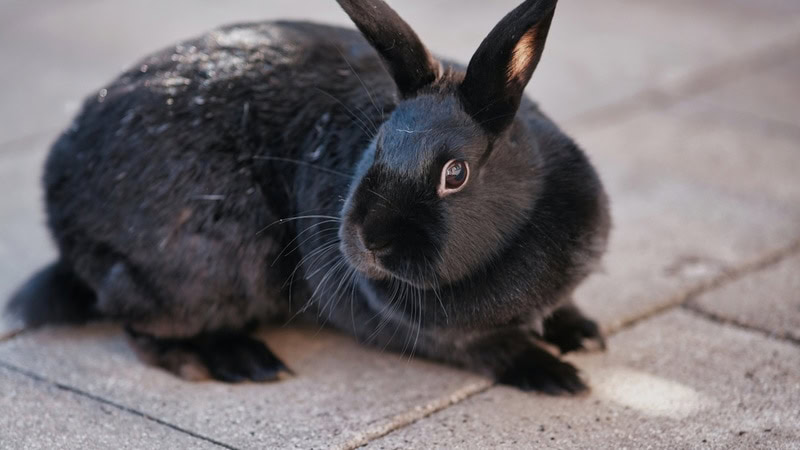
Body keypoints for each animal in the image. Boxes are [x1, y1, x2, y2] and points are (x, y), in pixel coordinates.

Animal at [6, 0, 610, 394]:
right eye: (377, 145)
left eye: (455, 173)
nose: (369, 242)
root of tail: (60, 205)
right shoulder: (438, 337)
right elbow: (493, 349)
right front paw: (559, 377)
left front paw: (586, 336)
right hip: (205, 268)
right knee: (136, 319)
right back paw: (236, 361)